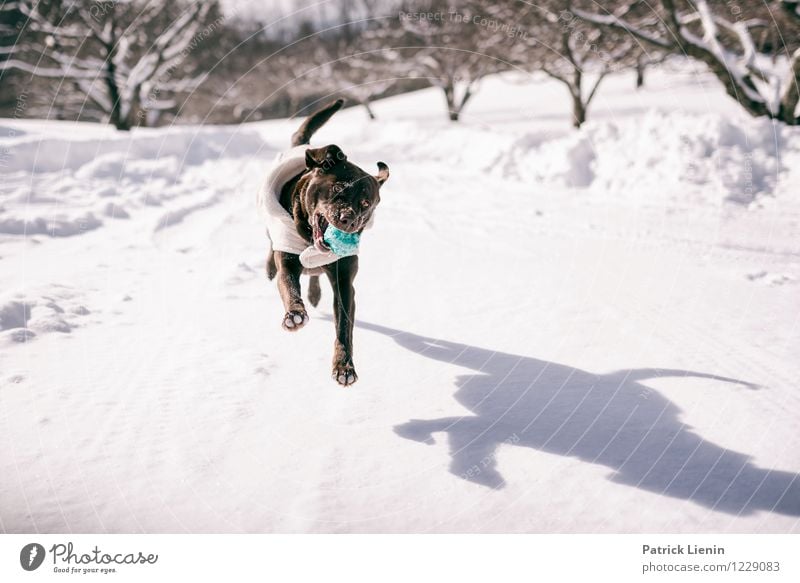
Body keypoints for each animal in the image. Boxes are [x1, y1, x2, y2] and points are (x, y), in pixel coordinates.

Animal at [262, 100, 388, 388]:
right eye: (338, 189)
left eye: (366, 204)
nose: (348, 220)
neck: (309, 241)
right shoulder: (288, 261)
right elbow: (289, 286)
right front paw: (295, 314)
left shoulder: (344, 282)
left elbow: (344, 327)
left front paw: (344, 367)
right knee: (271, 249)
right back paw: (270, 268)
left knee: (315, 275)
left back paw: (315, 292)